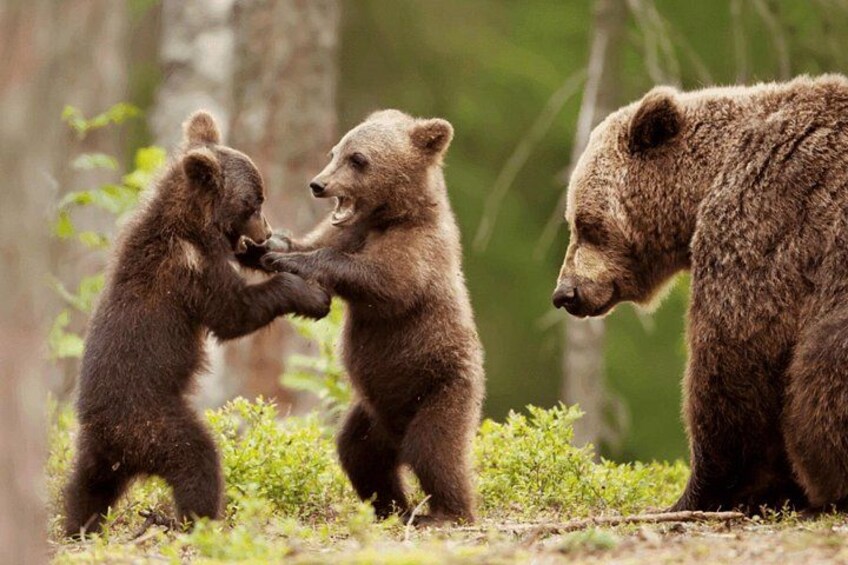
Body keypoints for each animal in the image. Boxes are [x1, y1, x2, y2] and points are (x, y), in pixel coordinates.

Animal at [63, 111, 331, 537]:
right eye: (254, 201)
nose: (267, 231)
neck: (193, 225)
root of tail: (114, 439)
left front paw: (276, 253)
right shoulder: (189, 270)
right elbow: (233, 313)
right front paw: (309, 294)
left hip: (97, 451)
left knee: (85, 487)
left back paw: (77, 525)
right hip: (153, 422)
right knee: (197, 459)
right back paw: (199, 519)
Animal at [259, 109, 485, 525]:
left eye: (358, 159)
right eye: (334, 151)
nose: (318, 184)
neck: (391, 216)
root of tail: (396, 433)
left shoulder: (419, 250)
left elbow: (385, 282)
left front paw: (294, 260)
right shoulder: (349, 230)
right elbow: (316, 241)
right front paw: (273, 244)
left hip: (442, 388)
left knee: (435, 450)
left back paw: (446, 512)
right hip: (372, 414)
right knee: (359, 454)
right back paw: (392, 507)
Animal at [552, 74, 848, 513]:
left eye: (587, 224)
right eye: (575, 220)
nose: (565, 293)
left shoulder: (766, 218)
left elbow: (734, 356)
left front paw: (700, 492)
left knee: (822, 361)